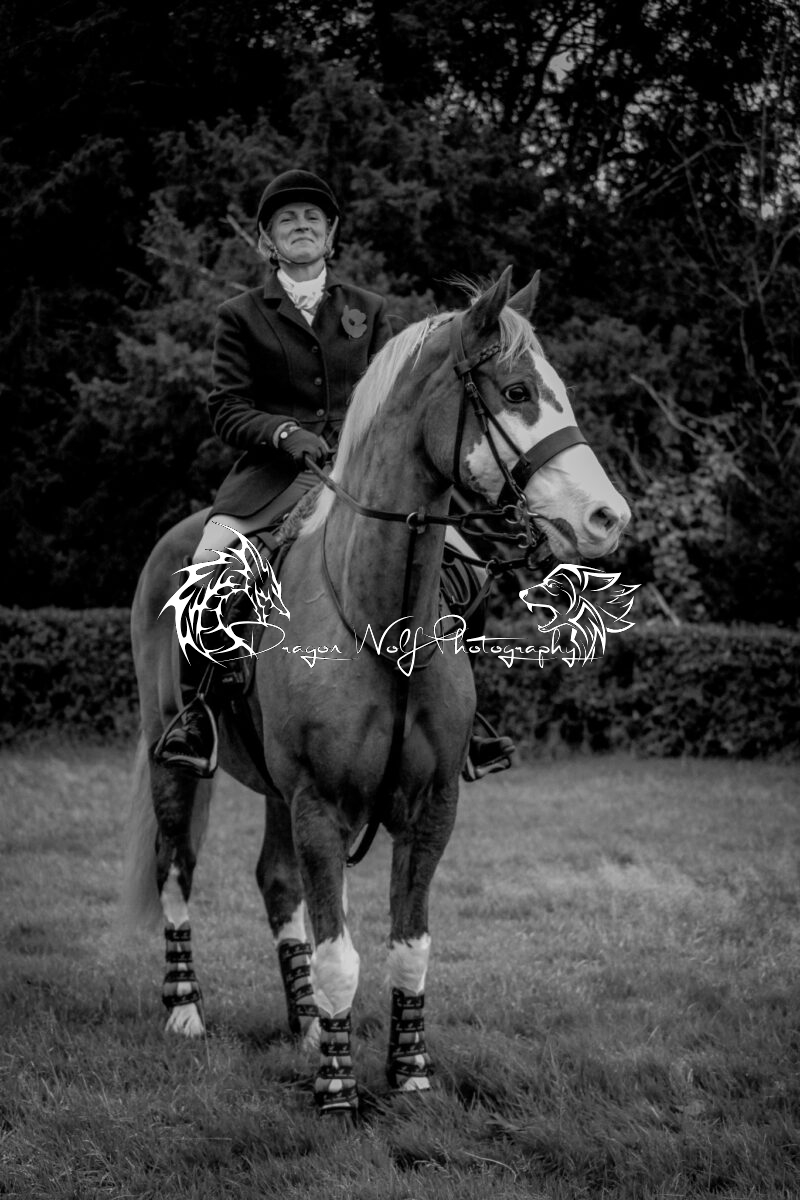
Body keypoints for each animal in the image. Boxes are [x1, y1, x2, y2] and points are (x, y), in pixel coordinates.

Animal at [122, 266, 631, 1115]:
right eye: (518, 391)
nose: (607, 517)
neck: (378, 618)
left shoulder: (429, 809)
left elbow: (408, 946)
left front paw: (410, 1076)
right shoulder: (320, 805)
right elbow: (342, 955)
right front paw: (337, 1090)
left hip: (276, 791)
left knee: (276, 884)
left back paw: (302, 1024)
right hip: (175, 760)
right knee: (176, 869)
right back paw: (187, 1010)